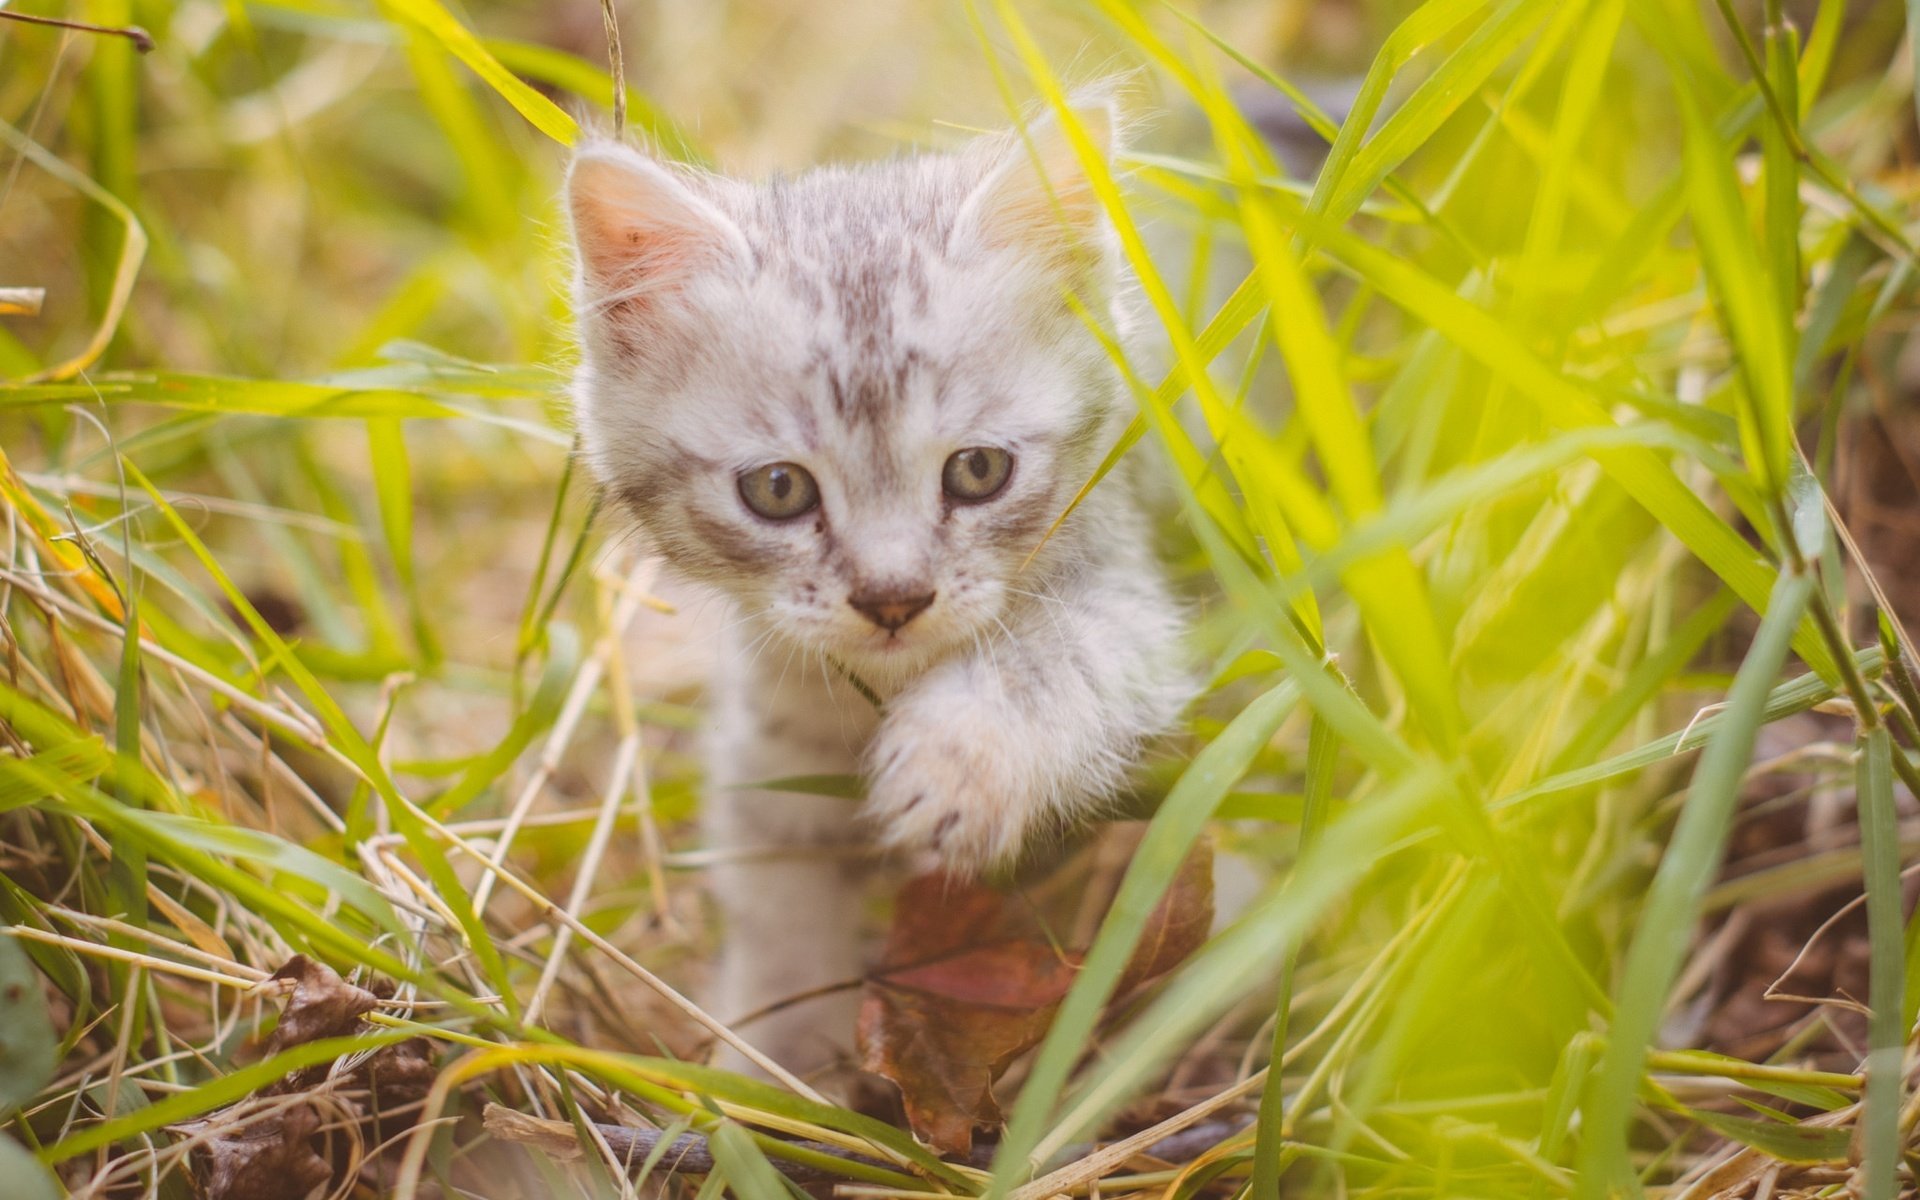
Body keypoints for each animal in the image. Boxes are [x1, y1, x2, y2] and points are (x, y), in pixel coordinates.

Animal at [560, 105, 1182, 1075]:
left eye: (978, 471)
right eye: (778, 489)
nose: (894, 597)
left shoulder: (1131, 597)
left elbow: (1057, 658)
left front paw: (960, 762)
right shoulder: (771, 735)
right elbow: (780, 897)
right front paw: (775, 1066)